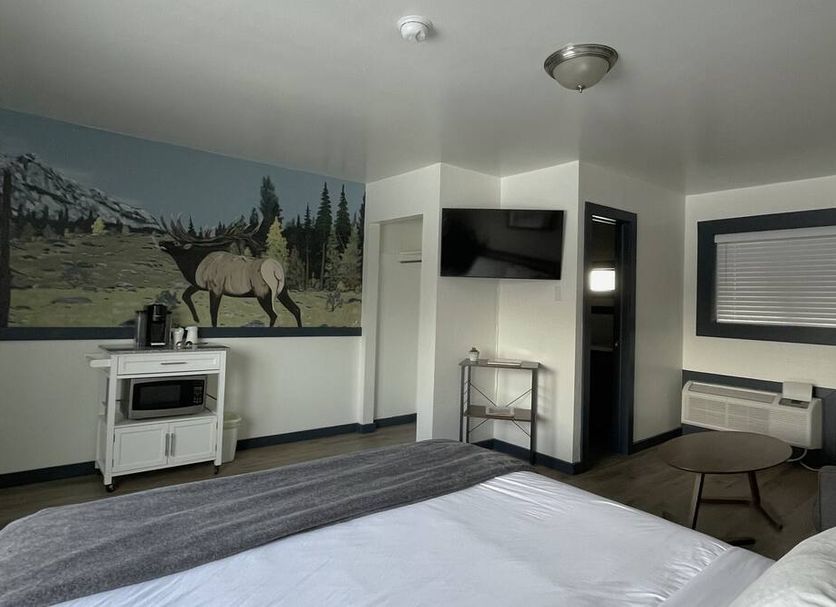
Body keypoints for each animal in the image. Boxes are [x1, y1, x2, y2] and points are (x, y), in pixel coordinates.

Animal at [155, 218, 302, 328]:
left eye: (175, 242)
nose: (161, 242)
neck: (194, 266)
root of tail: (276, 270)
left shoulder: (216, 288)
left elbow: (213, 313)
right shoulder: (200, 285)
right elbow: (185, 296)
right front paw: (196, 319)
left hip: (263, 293)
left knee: (274, 314)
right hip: (282, 291)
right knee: (296, 309)